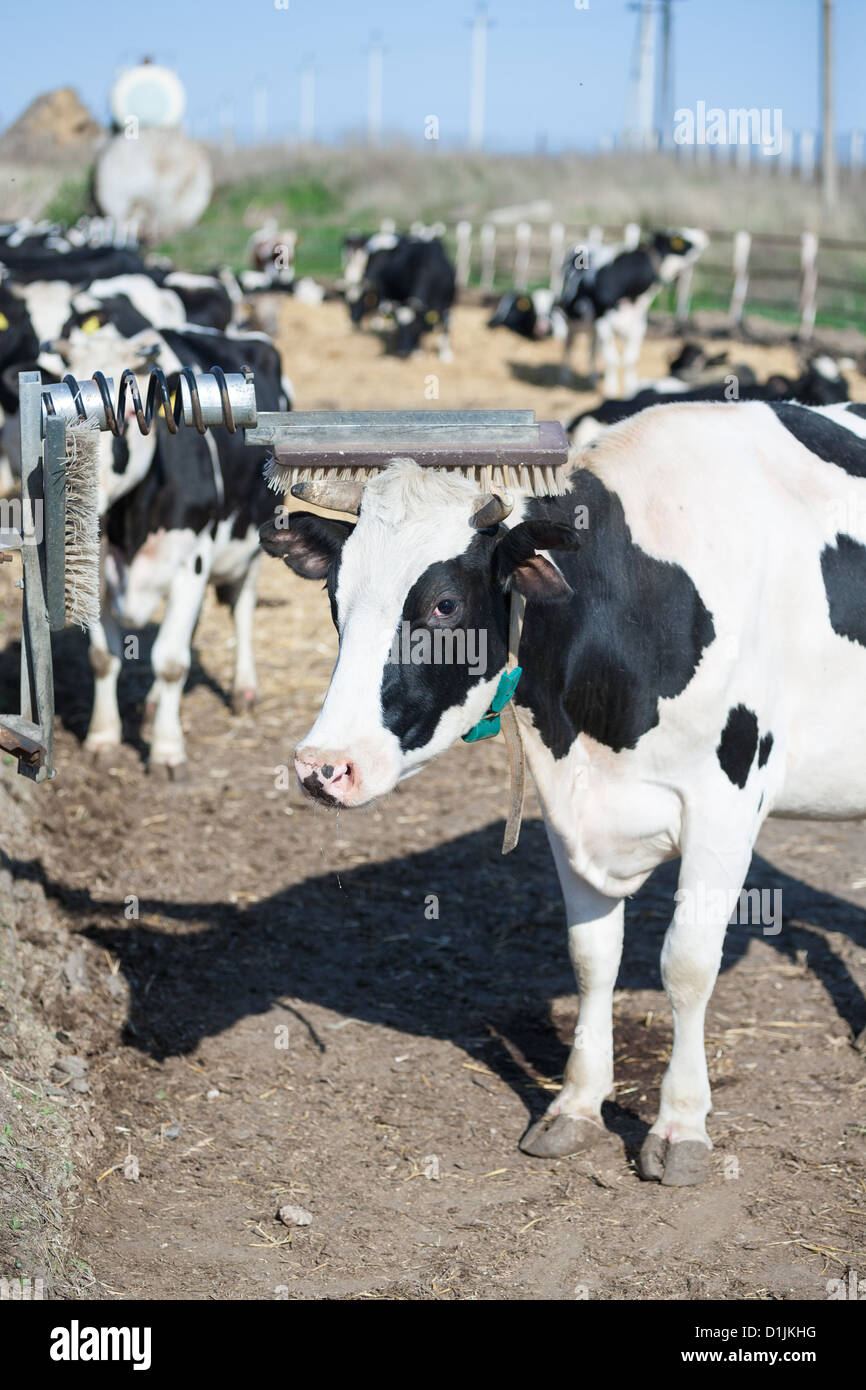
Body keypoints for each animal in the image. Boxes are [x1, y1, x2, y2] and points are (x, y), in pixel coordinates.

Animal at [261, 394, 866, 1184]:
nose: (323, 766)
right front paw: (576, 1106)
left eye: (445, 606)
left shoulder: (729, 801)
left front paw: (680, 1126)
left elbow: (687, 964)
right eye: (336, 598)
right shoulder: (565, 802)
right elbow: (591, 958)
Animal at [341, 230, 458, 358]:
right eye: (348, 304)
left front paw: (445, 354)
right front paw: (417, 350)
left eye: (415, 327)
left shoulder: (446, 304)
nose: (403, 352)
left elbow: (445, 327)